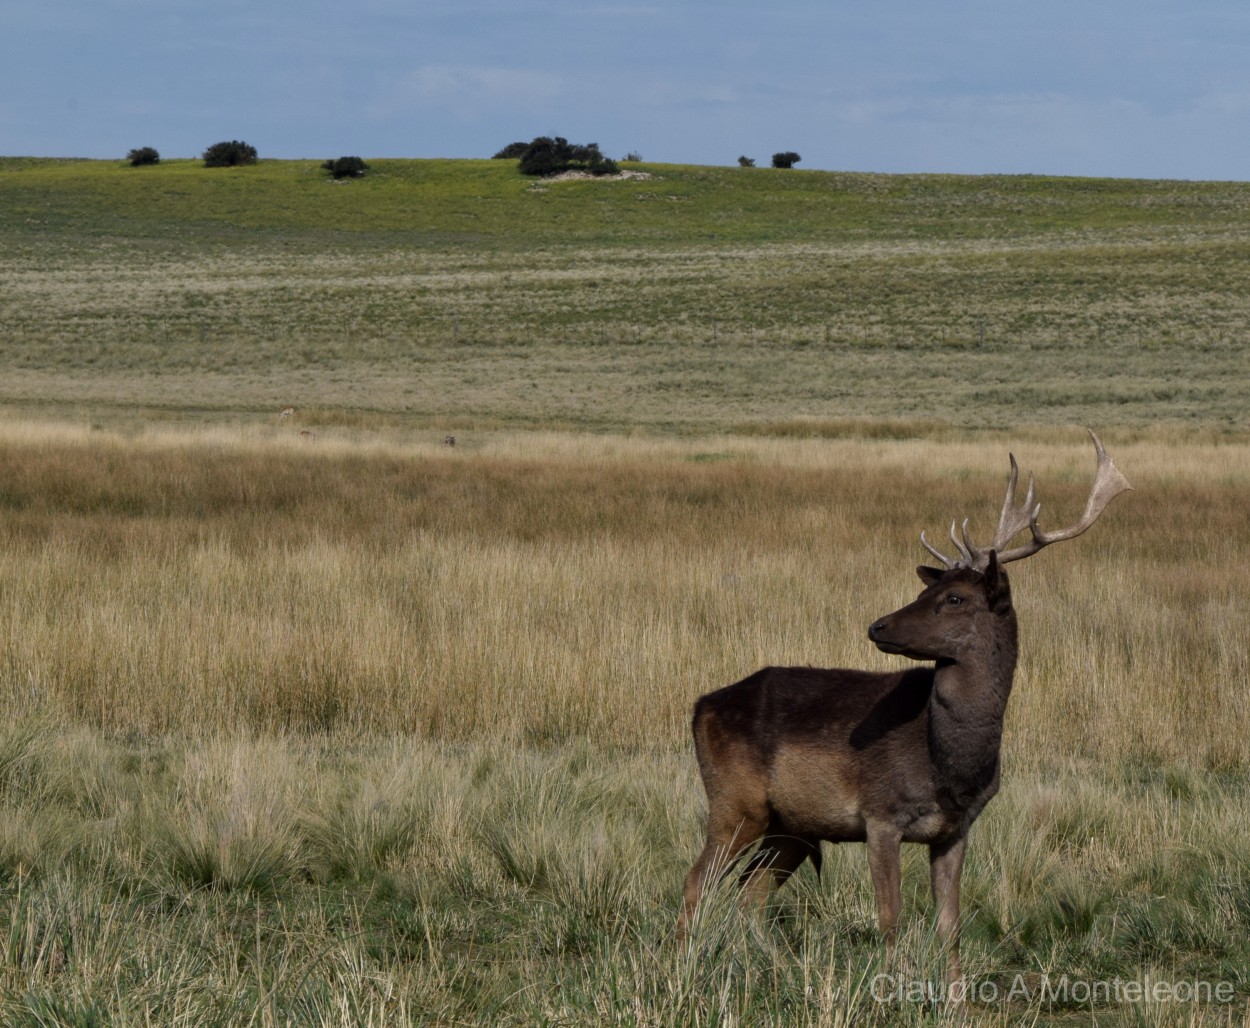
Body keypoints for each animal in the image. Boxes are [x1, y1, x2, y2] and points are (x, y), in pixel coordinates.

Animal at [685, 432, 1135, 1000]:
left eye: (955, 597)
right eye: (925, 589)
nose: (877, 625)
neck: (949, 764)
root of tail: (700, 705)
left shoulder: (957, 828)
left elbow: (950, 922)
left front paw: (957, 1000)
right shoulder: (881, 812)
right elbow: (891, 915)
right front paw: (890, 993)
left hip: (789, 827)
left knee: (750, 895)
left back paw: (766, 971)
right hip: (734, 801)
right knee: (698, 882)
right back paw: (681, 965)